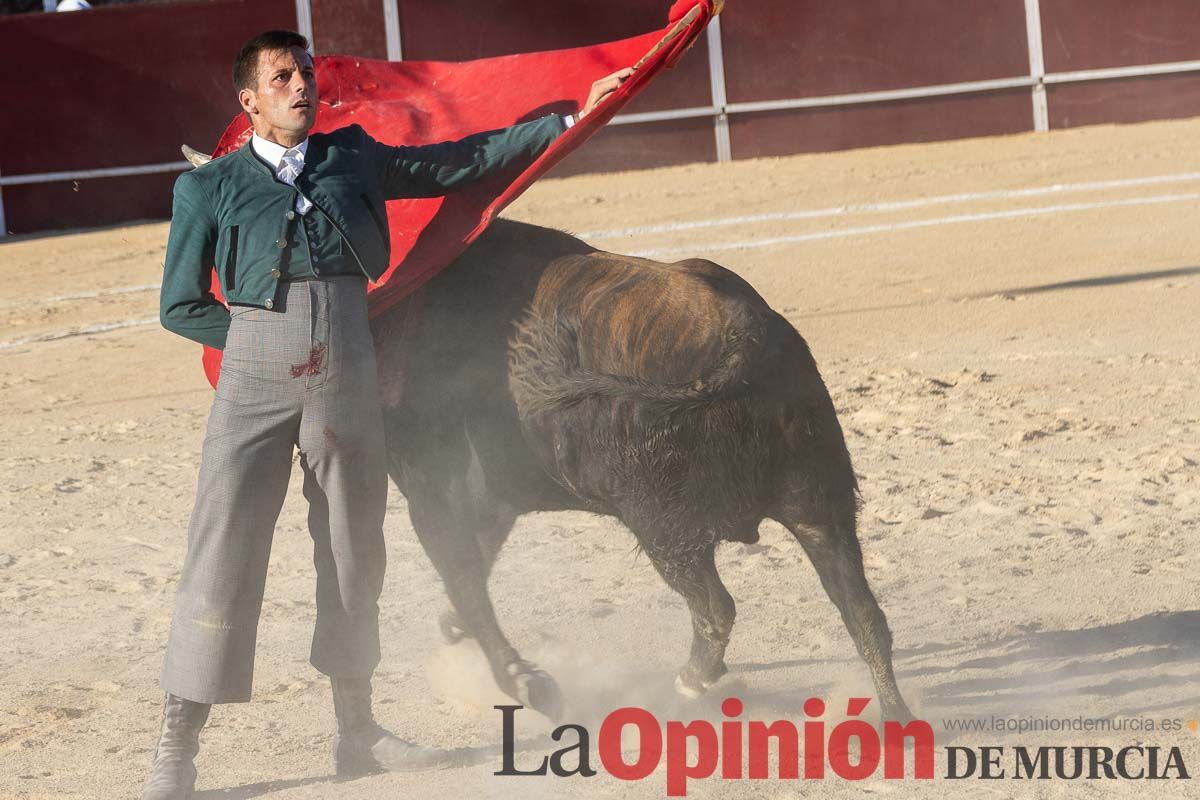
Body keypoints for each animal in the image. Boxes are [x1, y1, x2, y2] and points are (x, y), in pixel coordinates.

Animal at [369, 220, 912, 724]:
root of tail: (742, 333)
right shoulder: (489, 500)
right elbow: (475, 564)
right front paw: (456, 628)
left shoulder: (433, 491)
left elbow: (465, 578)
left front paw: (526, 682)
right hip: (819, 504)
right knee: (864, 616)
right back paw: (896, 719)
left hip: (663, 528)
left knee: (717, 608)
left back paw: (690, 682)